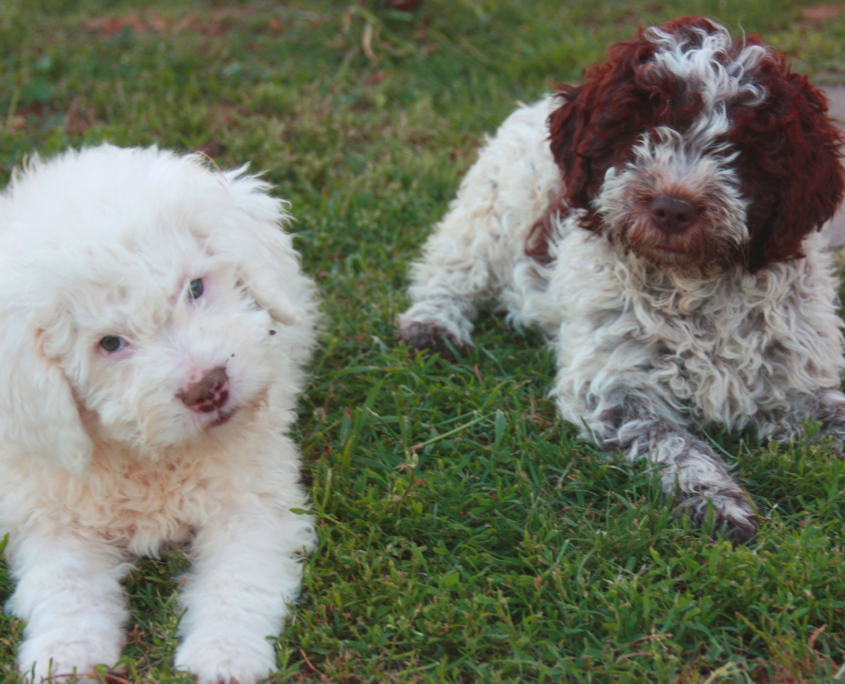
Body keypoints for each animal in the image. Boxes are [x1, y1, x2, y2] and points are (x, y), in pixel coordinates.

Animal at [0, 146, 320, 684]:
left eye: (194, 288)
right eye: (110, 343)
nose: (208, 388)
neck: (150, 455)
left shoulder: (254, 500)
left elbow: (239, 578)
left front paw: (225, 656)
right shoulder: (51, 511)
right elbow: (64, 581)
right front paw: (64, 655)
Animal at [398, 17, 844, 544]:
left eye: (739, 148)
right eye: (641, 133)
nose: (672, 208)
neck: (694, 281)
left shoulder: (802, 378)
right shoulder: (614, 383)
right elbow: (669, 441)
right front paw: (715, 502)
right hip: (490, 210)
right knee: (450, 268)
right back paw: (433, 325)